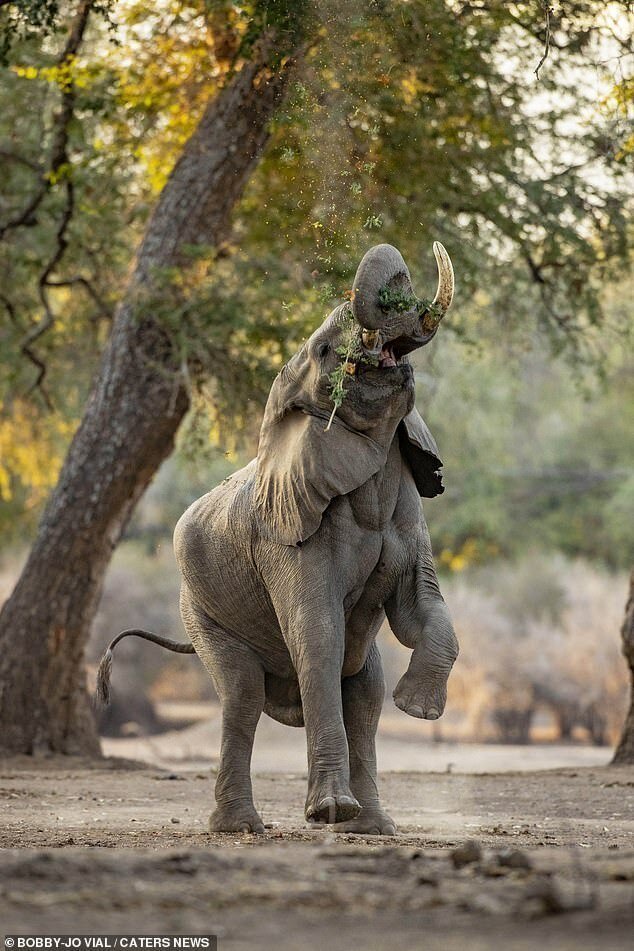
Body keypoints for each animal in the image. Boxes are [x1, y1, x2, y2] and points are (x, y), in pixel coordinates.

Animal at [96, 242, 456, 836]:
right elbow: (318, 635)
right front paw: (328, 812)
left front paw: (418, 708)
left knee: (365, 692)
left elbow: (422, 609)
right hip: (201, 612)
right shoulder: (285, 540)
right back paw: (243, 827)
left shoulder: (409, 517)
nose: (398, 282)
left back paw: (373, 827)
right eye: (327, 349)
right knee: (243, 695)